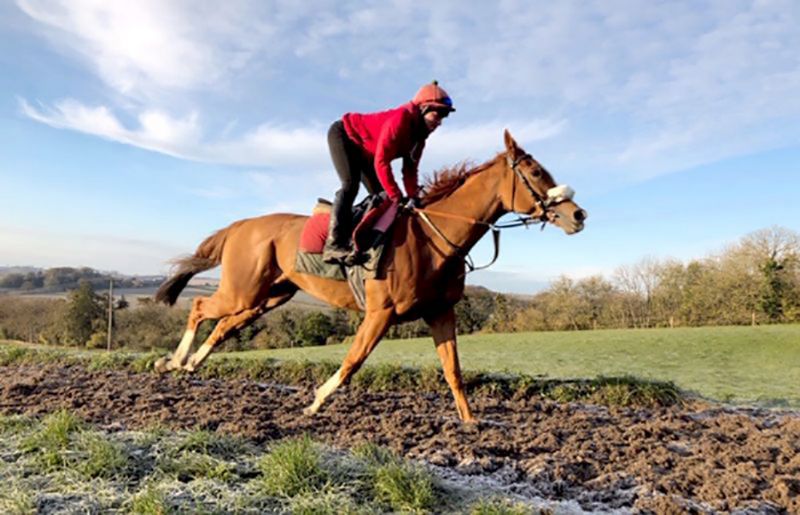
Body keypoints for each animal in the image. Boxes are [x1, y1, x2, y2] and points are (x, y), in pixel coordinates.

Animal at [153, 130, 584, 424]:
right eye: (536, 172)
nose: (579, 214)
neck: (433, 238)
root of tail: (242, 224)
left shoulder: (441, 312)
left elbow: (453, 371)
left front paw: (470, 421)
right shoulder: (381, 313)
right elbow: (352, 361)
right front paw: (315, 401)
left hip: (267, 296)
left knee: (223, 325)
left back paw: (186, 365)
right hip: (243, 290)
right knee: (199, 305)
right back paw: (174, 361)